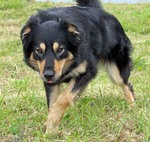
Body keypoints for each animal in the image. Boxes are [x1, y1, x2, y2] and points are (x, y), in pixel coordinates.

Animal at [20, 0, 135, 133]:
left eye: (60, 49)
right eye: (38, 50)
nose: (48, 75)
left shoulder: (88, 71)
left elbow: (64, 98)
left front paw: (52, 121)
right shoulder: (50, 80)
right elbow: (52, 103)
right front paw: (51, 129)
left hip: (116, 70)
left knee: (127, 84)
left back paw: (133, 107)